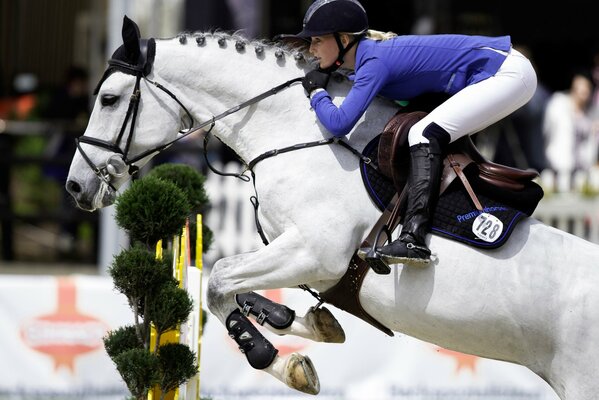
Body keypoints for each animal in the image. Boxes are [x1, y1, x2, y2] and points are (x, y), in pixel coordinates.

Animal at [67, 18, 599, 400]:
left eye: (109, 99)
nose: (76, 186)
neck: (294, 132)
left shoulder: (314, 252)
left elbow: (219, 281)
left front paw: (277, 359)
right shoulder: (309, 263)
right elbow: (242, 289)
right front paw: (299, 323)